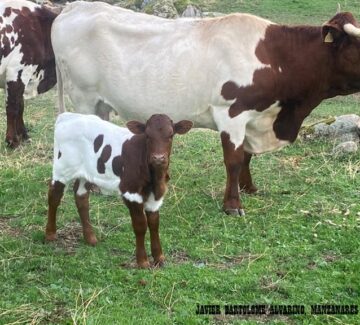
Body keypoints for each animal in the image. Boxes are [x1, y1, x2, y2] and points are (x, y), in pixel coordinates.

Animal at [45, 112, 193, 268]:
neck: (155, 178)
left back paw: (90, 238)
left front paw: (159, 258)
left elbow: (154, 223)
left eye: (171, 135)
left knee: (81, 198)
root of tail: (68, 115)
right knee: (54, 196)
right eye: (147, 135)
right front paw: (142, 261)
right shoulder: (131, 192)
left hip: (86, 173)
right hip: (62, 169)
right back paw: (50, 234)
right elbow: (140, 225)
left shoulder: (156, 196)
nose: (158, 158)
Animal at [52, 1, 360, 215]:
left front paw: (249, 188)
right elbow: (234, 160)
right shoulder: (231, 113)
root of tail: (74, 7)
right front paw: (233, 204)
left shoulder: (252, 117)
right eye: (357, 47)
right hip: (83, 96)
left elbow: (246, 157)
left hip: (100, 103)